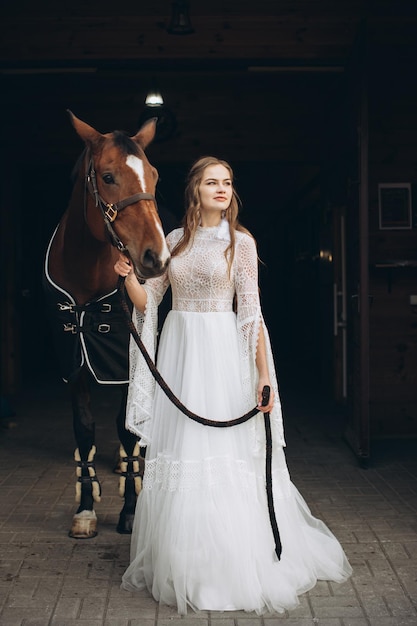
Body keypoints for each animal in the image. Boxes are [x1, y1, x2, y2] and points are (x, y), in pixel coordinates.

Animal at [44, 112, 170, 536]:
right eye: (108, 176)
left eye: (154, 174)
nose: (155, 257)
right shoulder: (73, 361)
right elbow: (85, 429)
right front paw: (85, 510)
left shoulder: (127, 358)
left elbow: (125, 428)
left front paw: (130, 510)